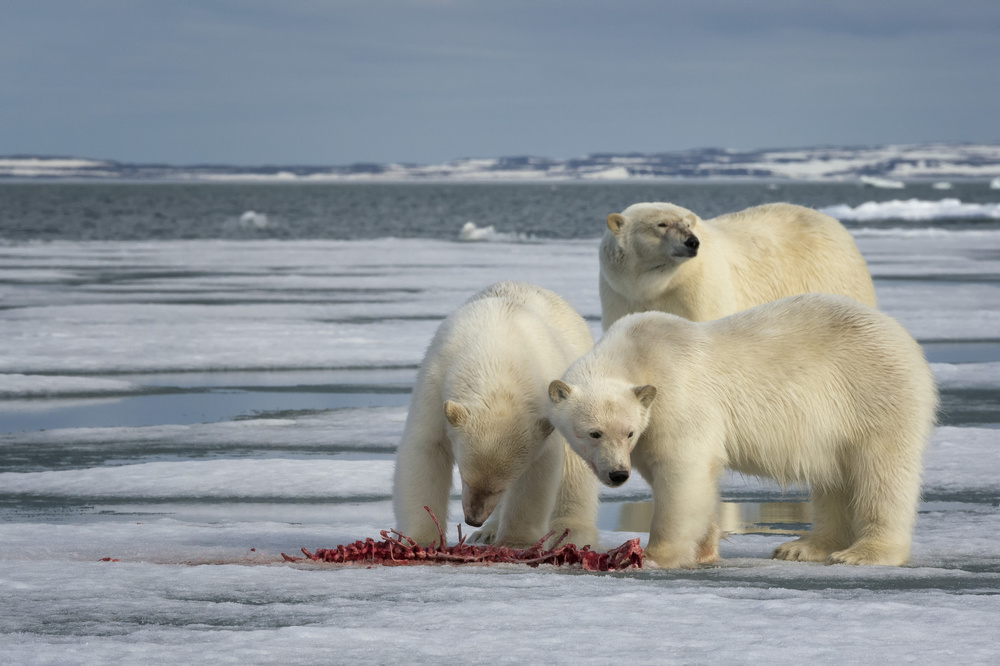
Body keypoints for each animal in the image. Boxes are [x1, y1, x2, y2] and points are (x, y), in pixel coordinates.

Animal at [390, 280, 596, 544]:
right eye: (465, 478)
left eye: (500, 487)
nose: (473, 519)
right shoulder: (436, 380)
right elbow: (426, 449)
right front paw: (423, 539)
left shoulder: (545, 405)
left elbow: (539, 471)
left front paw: (515, 541)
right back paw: (486, 533)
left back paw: (569, 531)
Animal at [548, 294, 936, 568]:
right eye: (594, 433)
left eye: (626, 432)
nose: (617, 474)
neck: (637, 354)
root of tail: (903, 338)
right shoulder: (650, 419)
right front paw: (705, 549)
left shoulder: (677, 396)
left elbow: (683, 470)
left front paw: (655, 554)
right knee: (834, 478)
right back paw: (803, 547)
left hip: (873, 392)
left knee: (881, 472)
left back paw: (864, 552)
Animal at [600, 201, 876, 328]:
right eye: (661, 224)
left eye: (687, 223)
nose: (692, 242)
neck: (655, 284)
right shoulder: (620, 293)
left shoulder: (698, 291)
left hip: (836, 279)